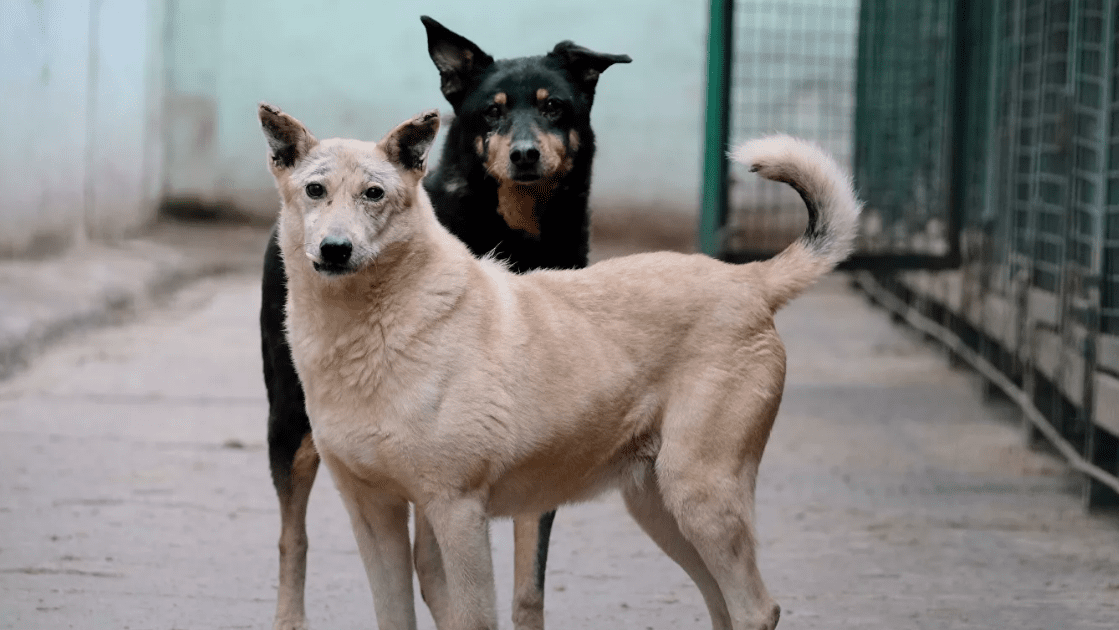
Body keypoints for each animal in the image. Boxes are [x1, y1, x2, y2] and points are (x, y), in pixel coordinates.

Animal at [259, 104, 854, 630]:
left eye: (374, 194)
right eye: (315, 190)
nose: (336, 250)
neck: (373, 328)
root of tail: (748, 279)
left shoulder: (458, 512)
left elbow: (475, 618)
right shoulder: (374, 513)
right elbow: (393, 616)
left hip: (700, 495)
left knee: (756, 610)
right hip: (660, 509)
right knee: (724, 607)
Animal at [261, 16, 631, 630]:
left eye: (555, 107)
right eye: (491, 113)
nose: (525, 154)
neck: (516, 235)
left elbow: (527, 584)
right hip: (290, 423)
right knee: (294, 538)